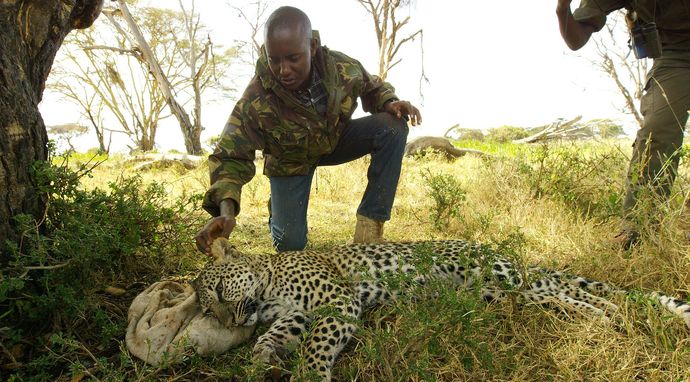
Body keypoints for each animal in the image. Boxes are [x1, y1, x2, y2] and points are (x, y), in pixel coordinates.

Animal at [189, 239, 688, 382]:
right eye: (208, 311)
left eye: (218, 291)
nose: (231, 321)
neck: (268, 284)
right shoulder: (296, 314)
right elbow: (280, 334)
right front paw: (260, 359)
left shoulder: (338, 301)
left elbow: (317, 345)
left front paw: (311, 375)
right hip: (490, 292)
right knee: (562, 295)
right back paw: (610, 314)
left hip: (494, 276)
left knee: (560, 293)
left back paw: (611, 315)